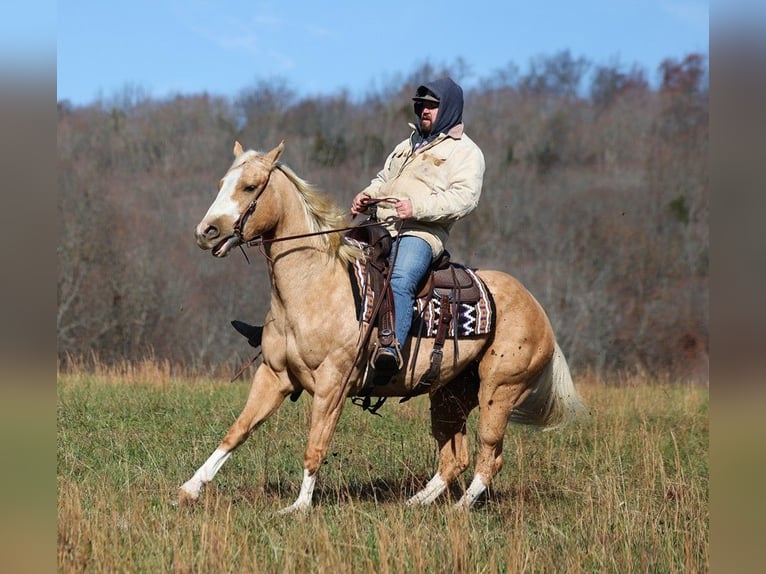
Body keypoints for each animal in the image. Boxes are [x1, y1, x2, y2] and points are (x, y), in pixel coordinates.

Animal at [183, 142, 584, 516]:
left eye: (250, 187)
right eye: (221, 183)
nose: (206, 232)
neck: (315, 284)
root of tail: (538, 311)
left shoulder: (333, 385)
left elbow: (316, 445)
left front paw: (298, 507)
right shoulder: (274, 375)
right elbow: (237, 431)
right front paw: (189, 489)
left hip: (498, 392)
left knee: (489, 457)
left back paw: (459, 509)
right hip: (450, 395)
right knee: (454, 459)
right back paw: (415, 503)